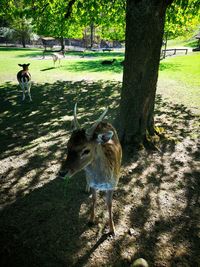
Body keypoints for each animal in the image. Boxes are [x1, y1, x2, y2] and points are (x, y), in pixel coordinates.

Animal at [58, 104, 122, 237]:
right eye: (67, 145)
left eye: (86, 150)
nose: (62, 172)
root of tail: (103, 122)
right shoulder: (93, 183)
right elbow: (94, 198)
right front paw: (91, 220)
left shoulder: (112, 185)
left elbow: (109, 204)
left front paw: (112, 230)